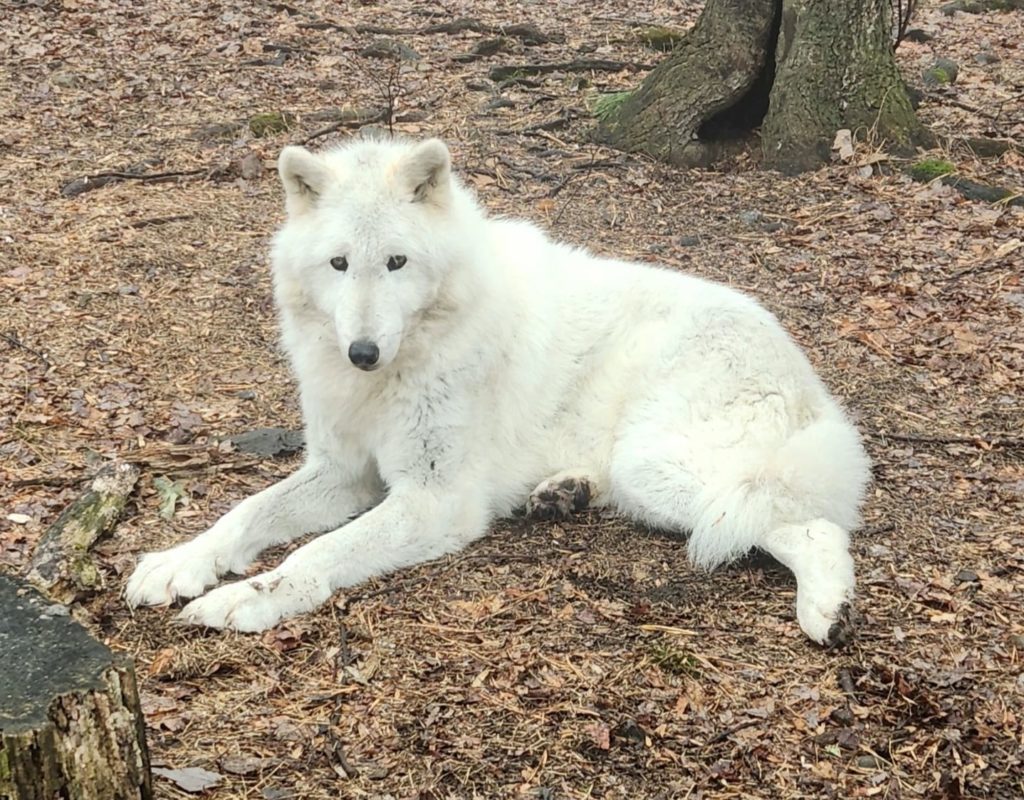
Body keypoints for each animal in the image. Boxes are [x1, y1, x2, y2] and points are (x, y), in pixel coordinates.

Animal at [125, 136, 871, 646]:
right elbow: (243, 515)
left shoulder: (434, 500)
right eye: (338, 264)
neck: (402, 366)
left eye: (396, 262)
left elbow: (315, 551)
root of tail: (811, 385)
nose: (361, 352)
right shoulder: (341, 472)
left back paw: (825, 608)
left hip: (659, 466)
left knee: (807, 523)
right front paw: (177, 563)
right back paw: (564, 493)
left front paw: (247, 596)